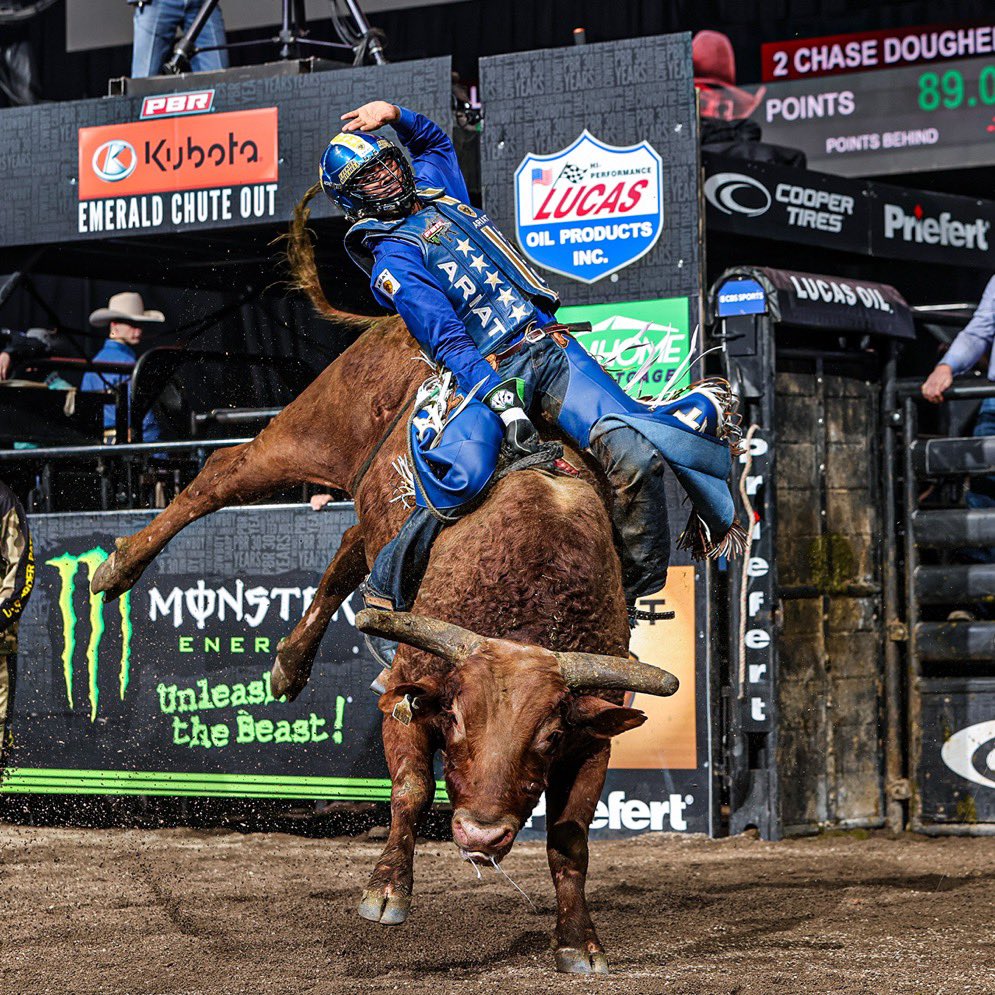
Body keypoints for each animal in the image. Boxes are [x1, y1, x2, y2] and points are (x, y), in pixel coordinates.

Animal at [89, 200, 680, 972]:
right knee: (223, 471)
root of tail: (388, 325)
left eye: (548, 734)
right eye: (455, 719)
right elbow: (410, 788)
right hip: (311, 429)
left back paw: (289, 663)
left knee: (348, 546)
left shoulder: (595, 733)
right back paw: (118, 566)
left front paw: (578, 941)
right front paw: (386, 891)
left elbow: (570, 838)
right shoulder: (408, 687)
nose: (482, 836)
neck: (530, 593)